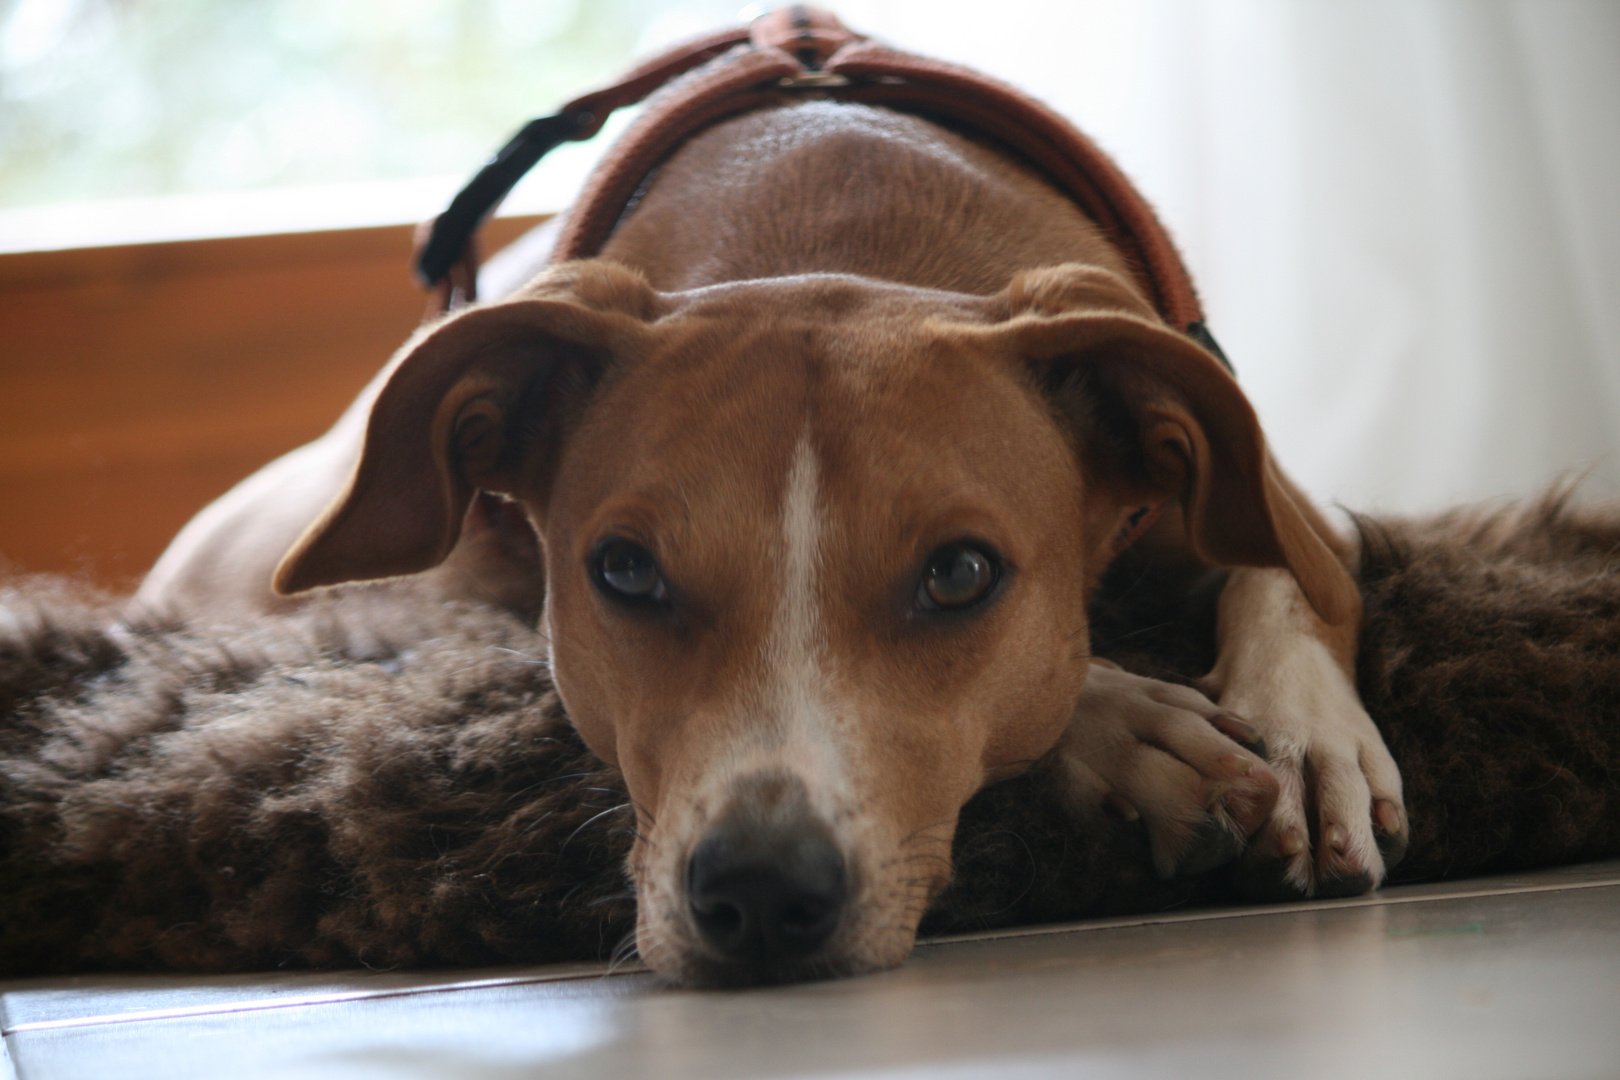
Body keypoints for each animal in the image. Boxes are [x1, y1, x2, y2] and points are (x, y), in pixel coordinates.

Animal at [139, 10, 1406, 990]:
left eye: (961, 574)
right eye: (626, 572)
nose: (757, 890)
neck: (843, 227)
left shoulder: (1258, 472)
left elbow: (1292, 565)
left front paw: (1303, 736)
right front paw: (1130, 728)